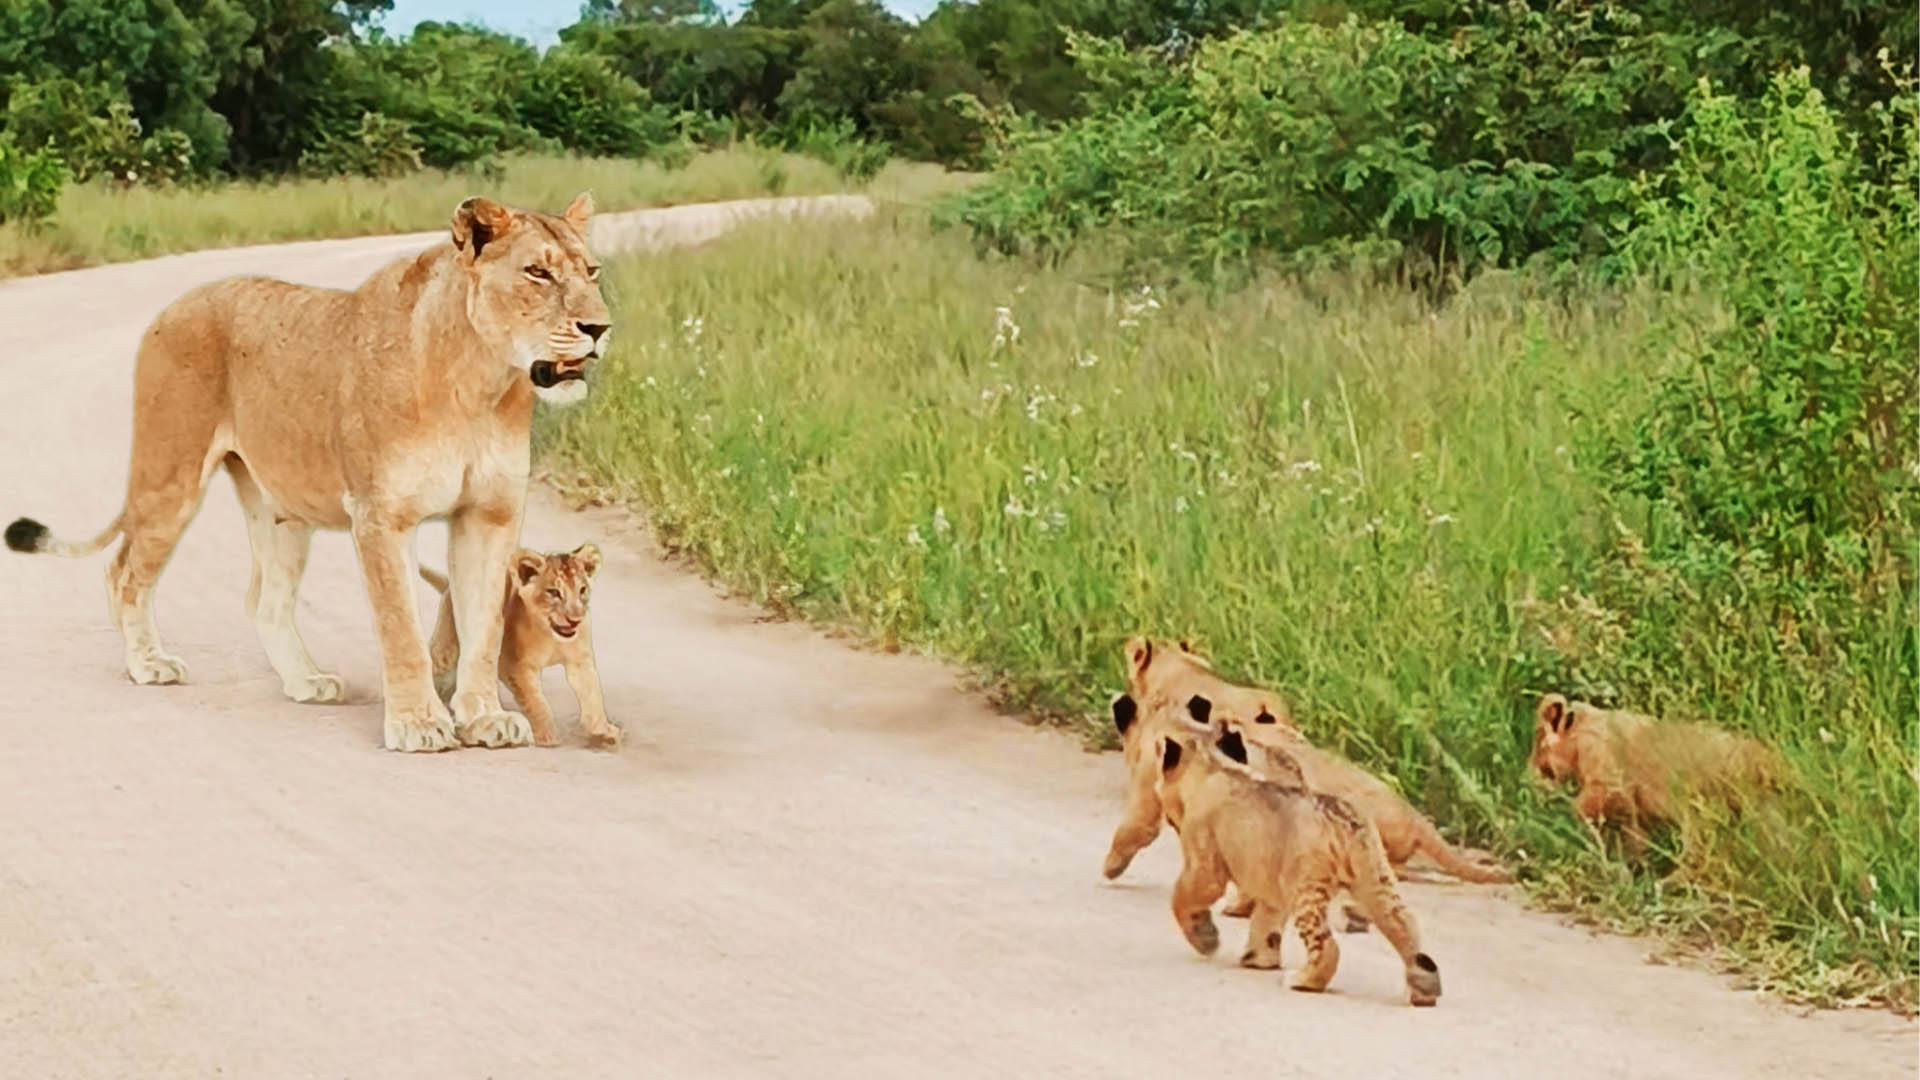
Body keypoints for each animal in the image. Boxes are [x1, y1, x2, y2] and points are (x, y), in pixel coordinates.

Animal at [1, 193, 614, 749]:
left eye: (591, 271)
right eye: (537, 273)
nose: (599, 328)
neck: (481, 383)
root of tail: (175, 304)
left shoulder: (489, 515)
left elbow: (482, 627)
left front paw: (485, 718)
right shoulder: (381, 516)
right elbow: (401, 628)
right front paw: (418, 725)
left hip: (280, 511)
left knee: (263, 600)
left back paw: (306, 681)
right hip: (171, 476)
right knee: (124, 570)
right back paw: (148, 663)